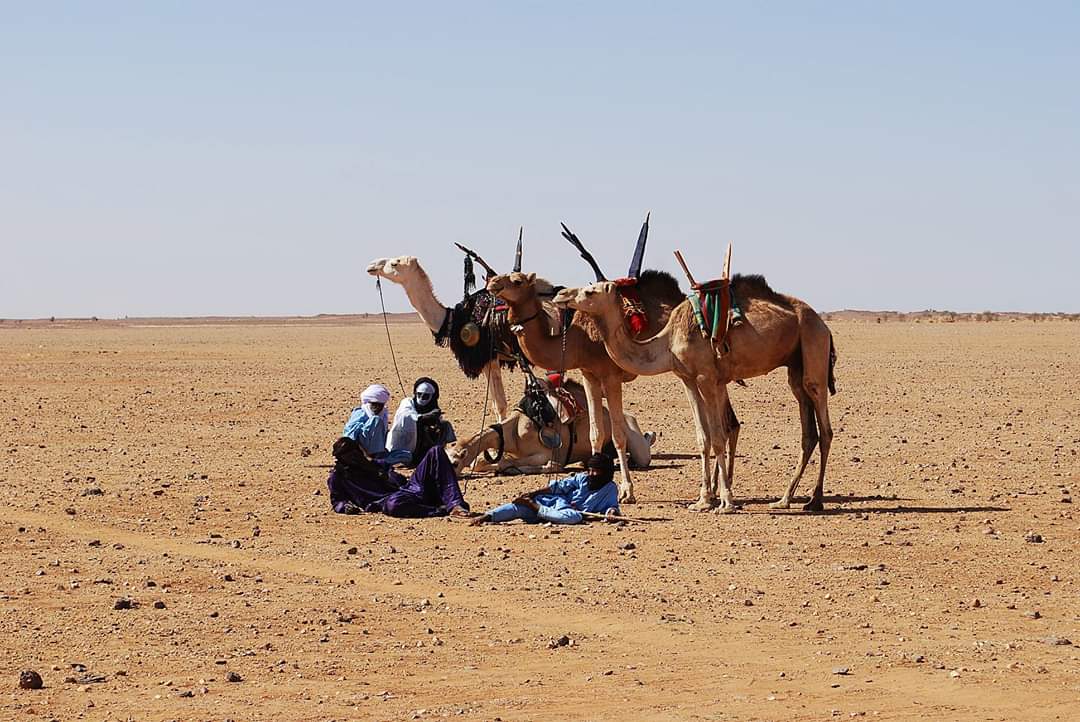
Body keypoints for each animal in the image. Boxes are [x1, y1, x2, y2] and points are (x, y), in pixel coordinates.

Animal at [367, 255, 516, 420]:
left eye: (395, 263)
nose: (372, 265)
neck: (453, 319)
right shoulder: (486, 361)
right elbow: (496, 405)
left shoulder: (488, 358)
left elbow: (500, 405)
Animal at [446, 378, 654, 474]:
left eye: (455, 463)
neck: (513, 432)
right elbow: (480, 462)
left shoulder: (546, 453)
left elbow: (549, 464)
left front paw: (508, 468)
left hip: (635, 441)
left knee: (642, 454)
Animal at [487, 269, 739, 504]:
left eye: (517, 280)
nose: (492, 283)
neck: (580, 340)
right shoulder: (588, 374)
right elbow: (595, 433)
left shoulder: (611, 376)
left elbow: (618, 436)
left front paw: (627, 491)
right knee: (728, 425)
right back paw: (717, 488)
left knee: (727, 425)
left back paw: (720, 490)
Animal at [555, 274, 836, 512]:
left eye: (590, 291)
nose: (561, 294)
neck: (666, 342)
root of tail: (822, 323)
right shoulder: (688, 380)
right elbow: (704, 438)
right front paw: (703, 500)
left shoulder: (707, 378)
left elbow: (718, 437)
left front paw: (726, 501)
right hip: (795, 367)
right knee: (808, 432)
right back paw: (784, 499)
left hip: (813, 347)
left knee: (824, 427)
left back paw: (815, 500)